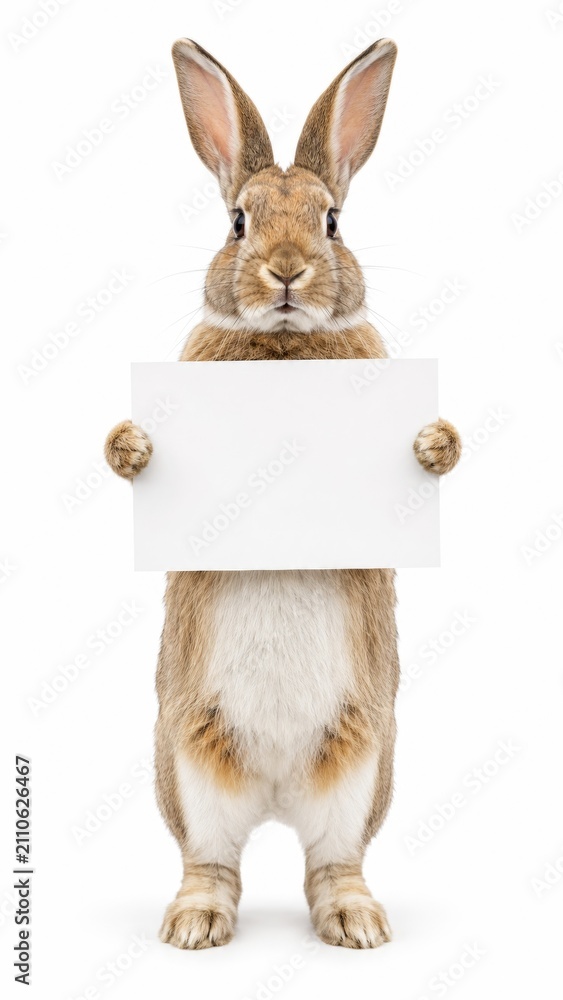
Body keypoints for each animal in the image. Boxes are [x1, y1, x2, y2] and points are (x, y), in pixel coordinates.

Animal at [105, 37, 461, 950]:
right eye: (238, 221)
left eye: (332, 220)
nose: (287, 271)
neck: (285, 347)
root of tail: (271, 796)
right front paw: (132, 445)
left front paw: (433, 444)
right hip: (186, 762)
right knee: (211, 861)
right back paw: (195, 925)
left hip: (363, 764)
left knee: (331, 861)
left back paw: (356, 925)